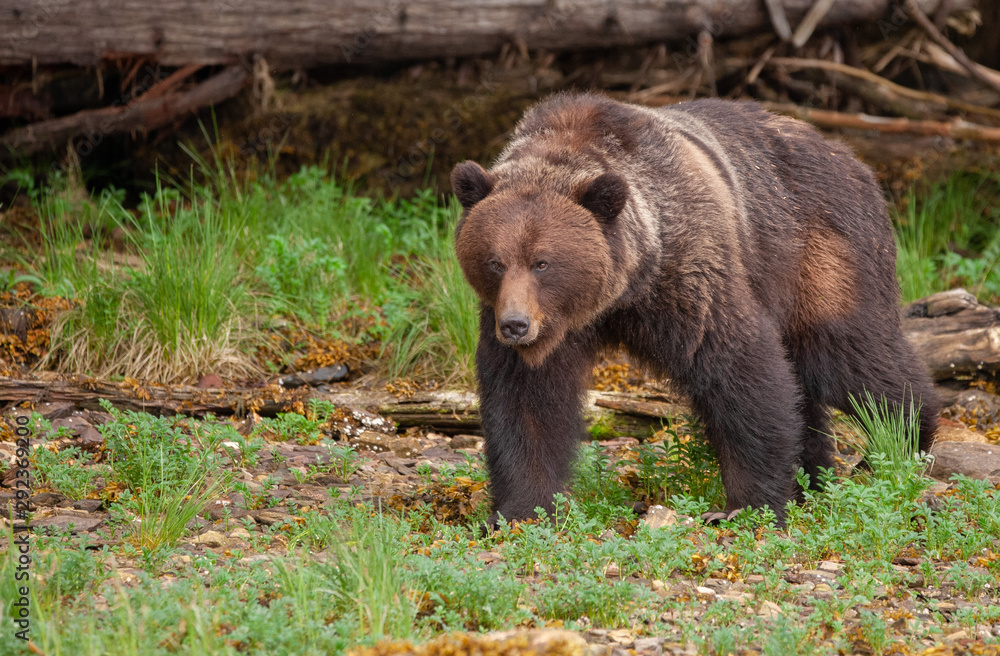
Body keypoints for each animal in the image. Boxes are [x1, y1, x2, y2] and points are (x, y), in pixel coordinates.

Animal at [454, 92, 936, 524]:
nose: (515, 325)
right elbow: (525, 402)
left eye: (543, 262)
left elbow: (738, 370)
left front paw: (745, 505)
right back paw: (813, 477)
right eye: (495, 262)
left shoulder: (688, 272)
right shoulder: (548, 327)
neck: (621, 293)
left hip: (820, 253)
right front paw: (521, 509)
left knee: (849, 356)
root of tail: (853, 159)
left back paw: (904, 441)